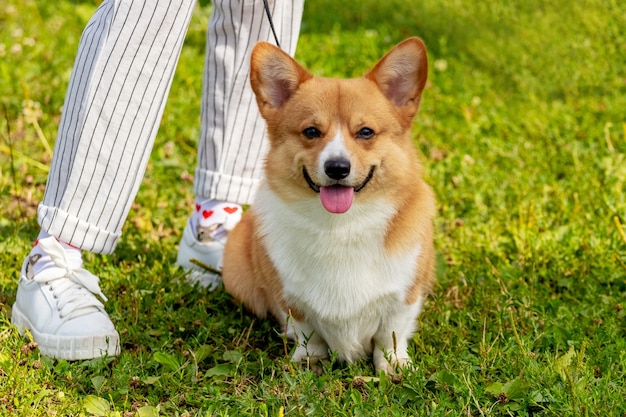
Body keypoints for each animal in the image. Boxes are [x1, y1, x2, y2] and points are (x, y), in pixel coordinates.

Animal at [223, 37, 434, 372]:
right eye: (311, 132)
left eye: (366, 132)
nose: (337, 168)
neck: (341, 226)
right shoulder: (291, 300)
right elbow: (307, 332)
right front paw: (311, 362)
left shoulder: (405, 296)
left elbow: (391, 334)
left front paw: (393, 367)